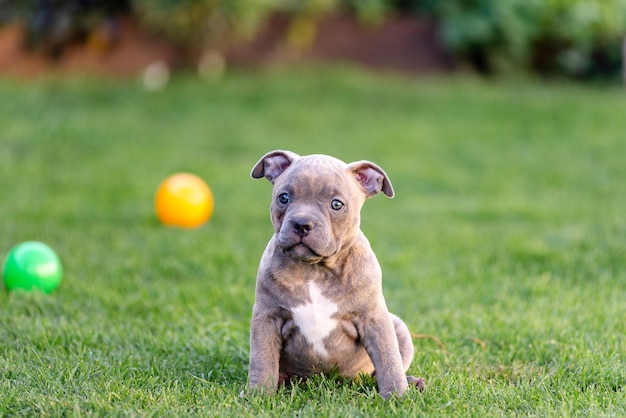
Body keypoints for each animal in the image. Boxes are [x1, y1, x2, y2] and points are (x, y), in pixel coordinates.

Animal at [246, 150, 422, 398]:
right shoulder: (266, 317)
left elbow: (388, 359)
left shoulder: (374, 319)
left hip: (398, 327)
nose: (302, 224)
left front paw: (396, 396)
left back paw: (412, 382)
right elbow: (262, 360)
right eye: (284, 198)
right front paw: (259, 395)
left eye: (337, 204)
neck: (315, 269)